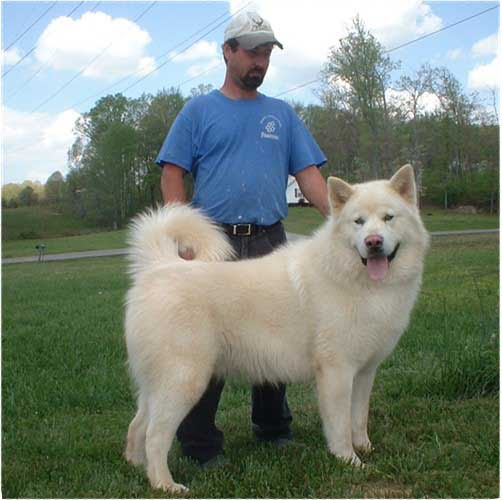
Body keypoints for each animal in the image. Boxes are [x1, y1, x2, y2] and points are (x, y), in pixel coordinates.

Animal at [123, 164, 430, 492]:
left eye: (388, 218)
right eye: (358, 221)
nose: (373, 242)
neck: (358, 280)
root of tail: (159, 266)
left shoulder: (364, 372)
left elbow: (358, 418)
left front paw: (365, 448)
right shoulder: (336, 372)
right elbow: (340, 424)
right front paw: (349, 461)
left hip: (158, 384)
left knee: (138, 425)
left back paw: (137, 468)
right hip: (185, 381)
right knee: (155, 436)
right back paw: (164, 484)